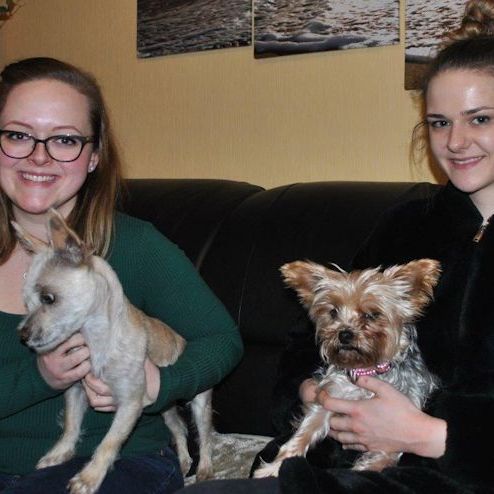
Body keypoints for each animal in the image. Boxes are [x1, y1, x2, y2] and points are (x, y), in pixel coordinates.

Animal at [254, 259, 440, 477]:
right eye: (333, 311)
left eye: (372, 315)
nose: (344, 334)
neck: (366, 368)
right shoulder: (331, 396)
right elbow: (305, 431)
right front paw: (274, 467)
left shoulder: (402, 415)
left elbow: (387, 454)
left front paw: (366, 468)